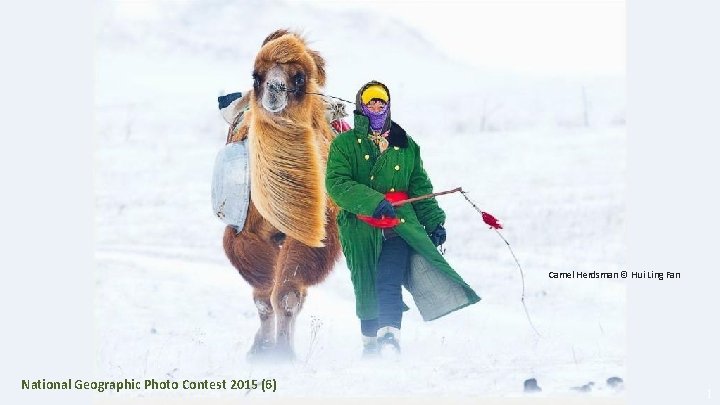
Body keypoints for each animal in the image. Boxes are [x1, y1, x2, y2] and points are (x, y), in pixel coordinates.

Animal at [222, 30, 341, 360]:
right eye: (256, 75)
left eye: (299, 77)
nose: (274, 90)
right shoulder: (246, 234)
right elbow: (264, 297)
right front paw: (261, 351)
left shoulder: (312, 235)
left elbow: (287, 296)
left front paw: (283, 355)